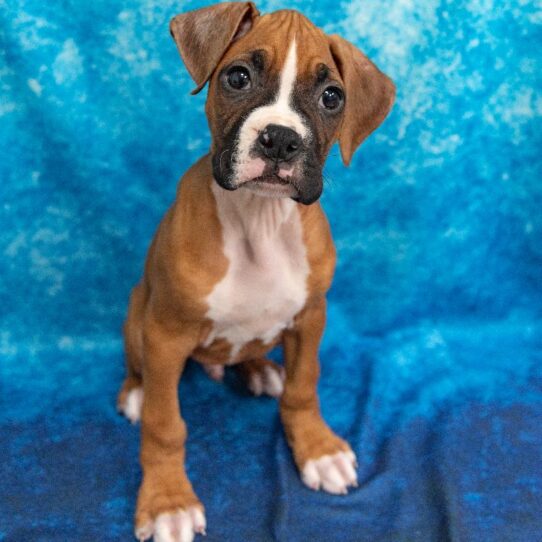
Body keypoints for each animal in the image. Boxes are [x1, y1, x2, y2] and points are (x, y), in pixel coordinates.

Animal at [118, 3, 396, 540]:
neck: (260, 220)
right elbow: (166, 425)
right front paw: (167, 501)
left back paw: (261, 369)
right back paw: (137, 393)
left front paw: (317, 449)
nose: (281, 139)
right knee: (138, 369)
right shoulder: (165, 335)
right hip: (137, 314)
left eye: (332, 97)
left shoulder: (311, 317)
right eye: (238, 77)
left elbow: (305, 385)